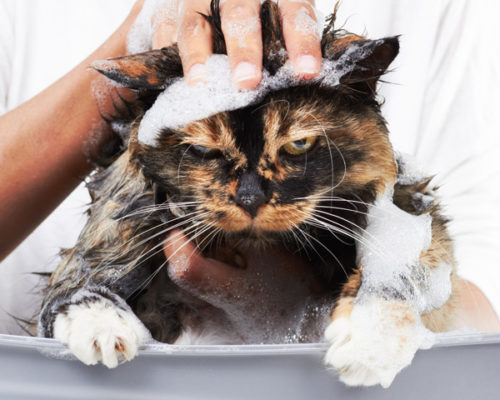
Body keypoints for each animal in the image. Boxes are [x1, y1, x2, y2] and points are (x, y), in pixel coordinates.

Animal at [37, 0, 458, 388]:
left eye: (298, 145)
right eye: (204, 149)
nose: (251, 198)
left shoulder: (405, 200)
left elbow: (404, 265)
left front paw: (372, 343)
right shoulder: (123, 185)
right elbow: (96, 252)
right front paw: (98, 323)